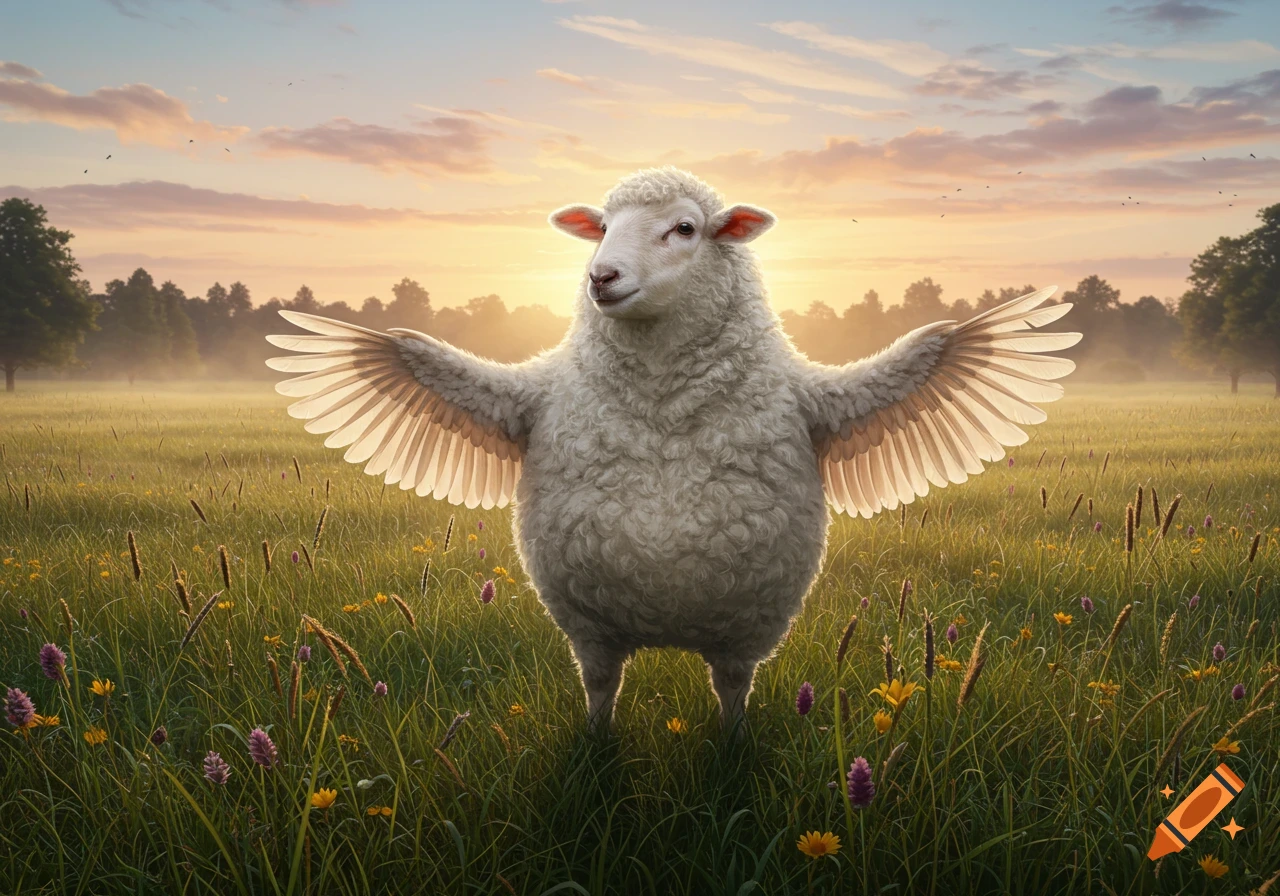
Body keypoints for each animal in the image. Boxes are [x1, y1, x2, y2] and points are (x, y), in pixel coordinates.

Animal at [266, 166, 1080, 734]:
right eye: (600, 226)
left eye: (685, 228)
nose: (601, 276)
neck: (660, 403)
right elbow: (401, 343)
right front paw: (596, 755)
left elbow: (943, 338)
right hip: (597, 623)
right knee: (605, 688)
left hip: (742, 621)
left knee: (730, 690)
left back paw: (731, 745)